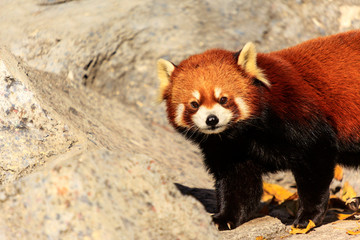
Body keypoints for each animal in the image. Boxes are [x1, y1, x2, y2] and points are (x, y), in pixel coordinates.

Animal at [158, 30, 360, 231]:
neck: (245, 134)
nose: (212, 119)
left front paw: (308, 217)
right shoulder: (230, 150)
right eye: (194, 104)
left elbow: (315, 166)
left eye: (223, 99)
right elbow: (238, 183)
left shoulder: (299, 116)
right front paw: (225, 217)